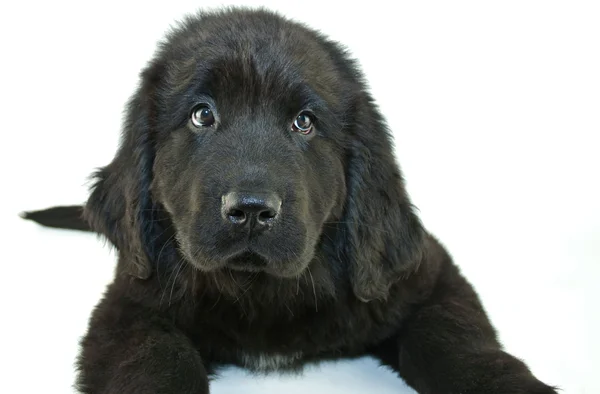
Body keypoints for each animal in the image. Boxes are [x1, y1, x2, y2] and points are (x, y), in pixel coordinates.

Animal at [23, 6, 556, 394]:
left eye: (304, 122)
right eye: (202, 115)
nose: (251, 210)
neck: (260, 291)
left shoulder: (428, 276)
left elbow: (456, 340)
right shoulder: (131, 303)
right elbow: (155, 362)